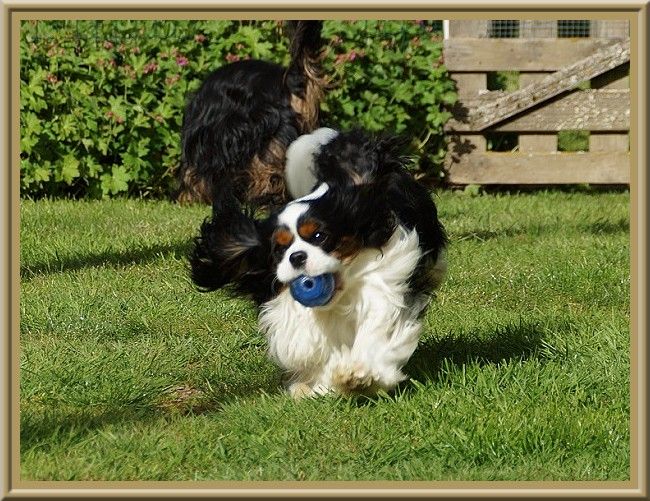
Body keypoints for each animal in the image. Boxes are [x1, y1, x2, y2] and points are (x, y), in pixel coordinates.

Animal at [189, 128, 447, 397]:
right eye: (279, 249)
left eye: (318, 236)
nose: (297, 257)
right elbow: (313, 347)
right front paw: (316, 385)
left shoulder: (384, 286)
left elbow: (377, 330)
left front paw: (360, 374)